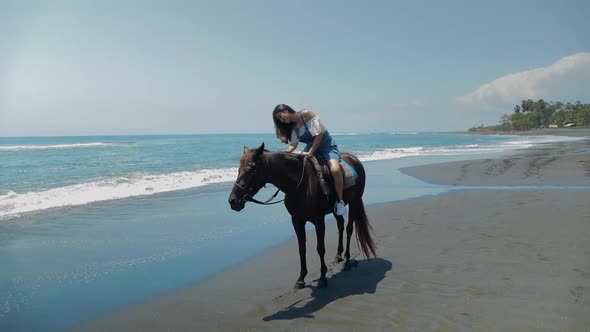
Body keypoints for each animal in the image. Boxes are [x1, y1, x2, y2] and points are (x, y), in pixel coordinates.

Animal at [229, 144, 376, 290]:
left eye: (250, 170)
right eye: (238, 169)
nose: (233, 201)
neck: (299, 184)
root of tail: (355, 159)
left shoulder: (319, 220)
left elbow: (320, 248)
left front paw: (322, 278)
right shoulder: (297, 220)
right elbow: (301, 249)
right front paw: (301, 279)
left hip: (354, 202)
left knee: (349, 228)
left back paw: (346, 260)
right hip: (336, 210)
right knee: (340, 225)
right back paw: (338, 255)